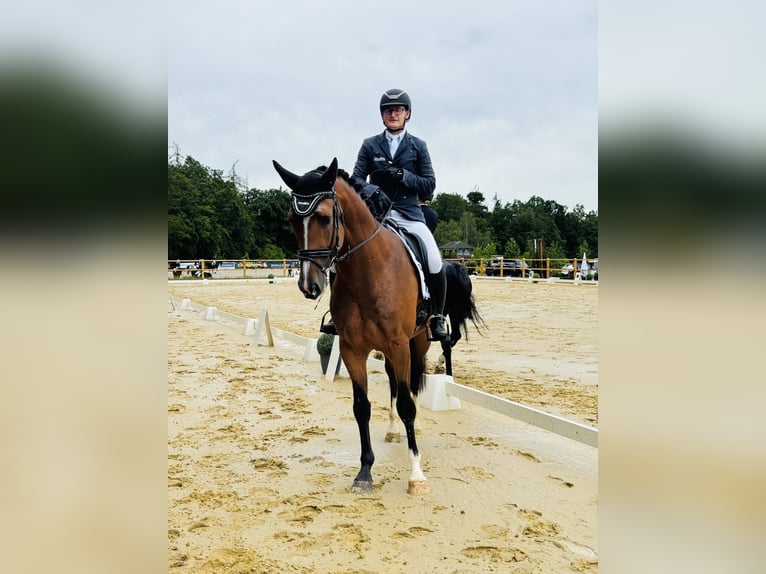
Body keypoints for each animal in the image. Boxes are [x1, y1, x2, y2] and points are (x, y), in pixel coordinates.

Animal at [273, 157, 484, 495]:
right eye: (293, 218)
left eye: (323, 218)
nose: (309, 286)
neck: (367, 273)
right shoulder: (352, 349)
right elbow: (362, 407)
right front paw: (364, 472)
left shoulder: (398, 344)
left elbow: (408, 403)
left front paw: (416, 475)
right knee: (396, 384)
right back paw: (393, 429)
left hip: (417, 340)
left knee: (415, 379)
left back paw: (416, 424)